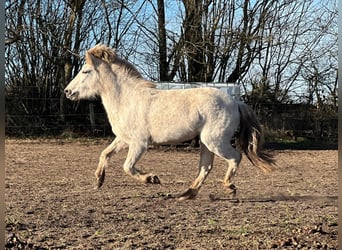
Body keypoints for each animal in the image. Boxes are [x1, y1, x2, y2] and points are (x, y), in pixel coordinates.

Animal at [62, 44, 274, 201]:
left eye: (85, 71)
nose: (67, 91)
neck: (127, 99)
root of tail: (236, 102)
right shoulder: (123, 139)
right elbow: (105, 154)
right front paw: (98, 181)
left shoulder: (139, 143)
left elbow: (127, 166)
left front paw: (152, 179)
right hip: (206, 143)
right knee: (205, 167)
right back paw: (187, 193)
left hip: (216, 141)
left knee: (235, 157)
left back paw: (229, 187)